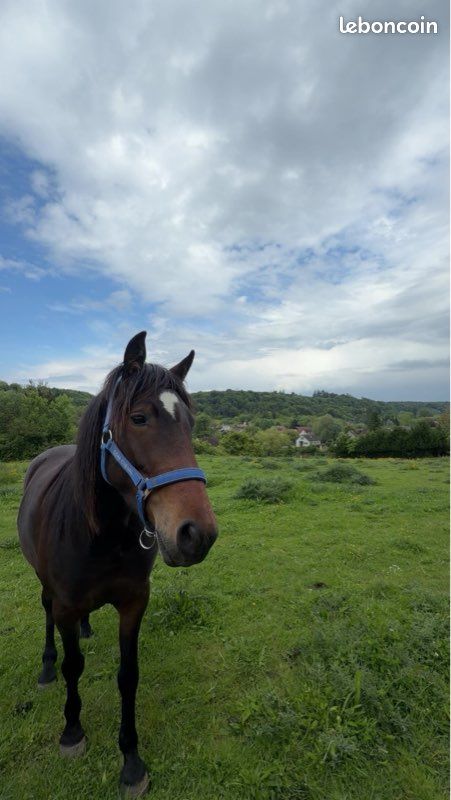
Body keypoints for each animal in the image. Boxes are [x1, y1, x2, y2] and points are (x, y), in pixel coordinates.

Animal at [17, 331, 218, 797]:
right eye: (140, 418)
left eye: (191, 424)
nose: (197, 534)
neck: (101, 534)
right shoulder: (66, 603)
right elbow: (73, 666)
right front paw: (72, 733)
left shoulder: (133, 604)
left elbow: (129, 676)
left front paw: (131, 761)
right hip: (44, 585)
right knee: (47, 616)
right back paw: (46, 666)